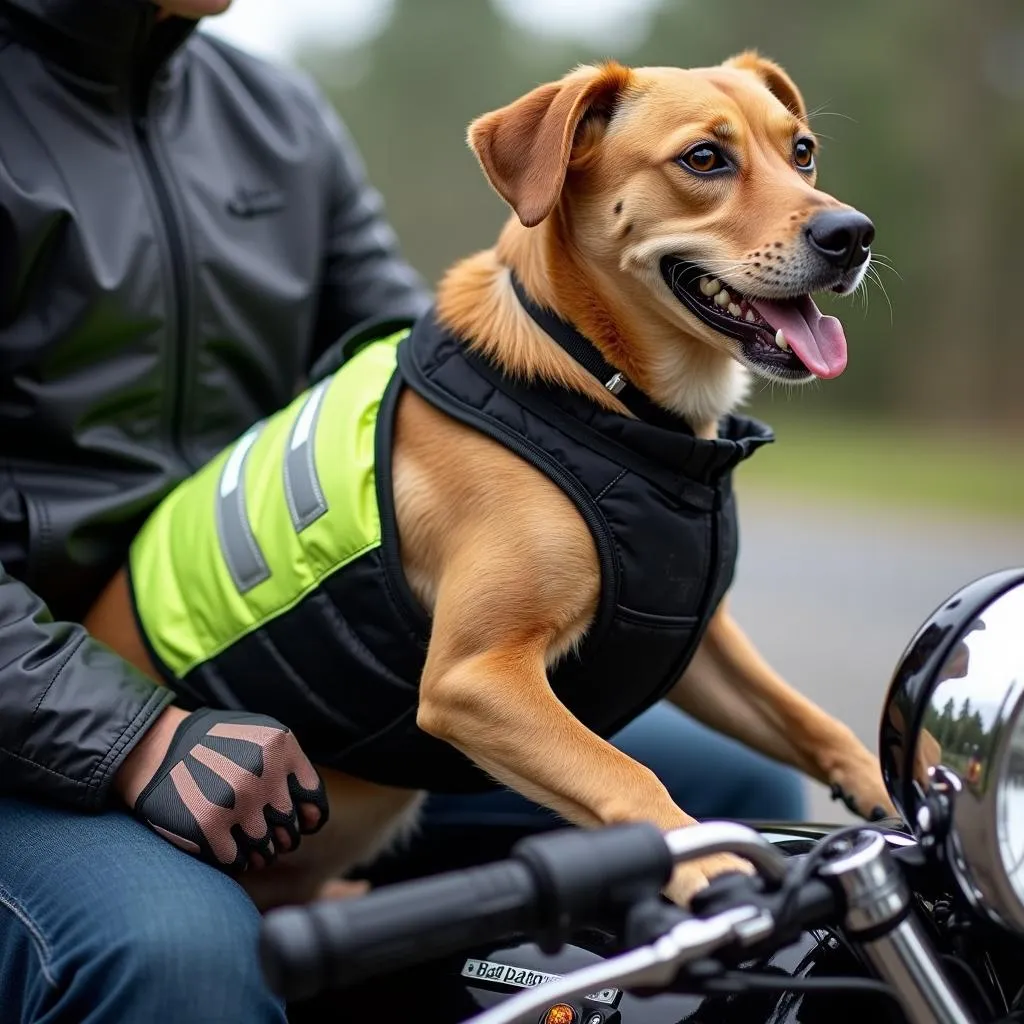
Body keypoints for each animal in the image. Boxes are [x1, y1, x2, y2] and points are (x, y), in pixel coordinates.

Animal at [83, 51, 892, 909]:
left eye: (801, 151)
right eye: (705, 159)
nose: (852, 234)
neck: (601, 389)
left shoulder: (691, 641)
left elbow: (810, 718)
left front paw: (887, 785)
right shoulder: (475, 677)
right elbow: (624, 771)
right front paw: (709, 863)